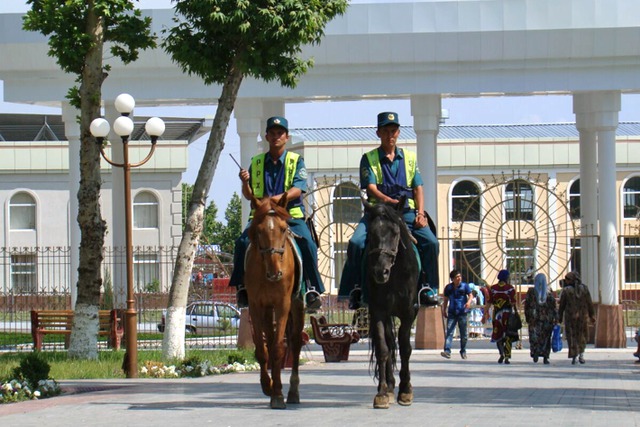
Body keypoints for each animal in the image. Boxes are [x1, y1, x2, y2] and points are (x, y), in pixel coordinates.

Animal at [245, 196, 304, 410]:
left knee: (295, 342)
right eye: (259, 230)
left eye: (283, 228)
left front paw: (278, 394)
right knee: (269, 341)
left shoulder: (283, 304)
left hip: (297, 306)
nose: (275, 273)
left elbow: (279, 348)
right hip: (267, 310)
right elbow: (263, 350)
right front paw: (268, 387)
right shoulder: (256, 305)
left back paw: (293, 392)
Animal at [364, 199, 420, 410]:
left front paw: (406, 390)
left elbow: (405, 349)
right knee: (388, 343)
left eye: (395, 232)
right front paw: (381, 392)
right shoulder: (379, 311)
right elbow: (383, 348)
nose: (381, 272)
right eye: (371, 233)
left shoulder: (409, 313)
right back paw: (388, 386)